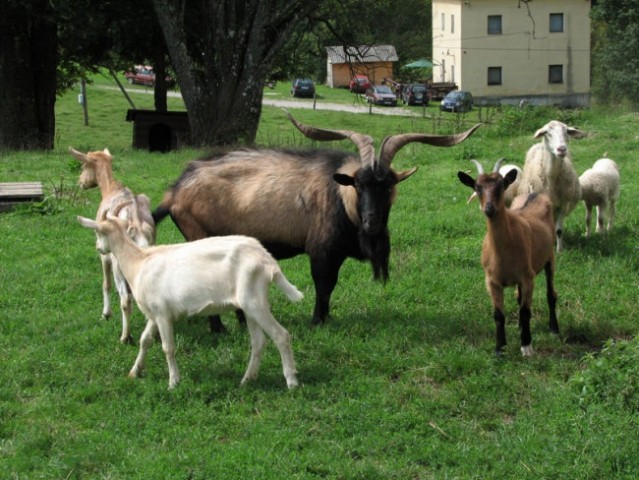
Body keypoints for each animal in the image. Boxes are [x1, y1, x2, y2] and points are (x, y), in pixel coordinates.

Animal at [69, 145, 156, 342]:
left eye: (84, 165)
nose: (81, 182)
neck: (110, 189)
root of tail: (135, 221)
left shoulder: (105, 255)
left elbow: (105, 284)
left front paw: (105, 314)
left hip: (119, 265)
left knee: (124, 299)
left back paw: (125, 337)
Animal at [77, 213, 302, 390]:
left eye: (97, 233)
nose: (99, 248)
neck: (139, 263)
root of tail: (267, 260)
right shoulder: (154, 313)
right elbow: (145, 340)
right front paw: (135, 371)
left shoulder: (163, 313)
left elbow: (168, 347)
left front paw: (173, 382)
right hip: (249, 304)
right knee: (258, 342)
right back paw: (247, 379)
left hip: (254, 300)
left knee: (281, 335)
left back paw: (291, 381)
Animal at [151, 111, 480, 330]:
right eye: (358, 185)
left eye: (388, 186)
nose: (372, 223)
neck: (341, 200)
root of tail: (175, 192)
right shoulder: (322, 250)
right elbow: (324, 285)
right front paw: (318, 321)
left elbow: (329, 287)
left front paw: (326, 317)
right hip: (200, 236)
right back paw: (222, 330)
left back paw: (242, 324)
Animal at [460, 159, 560, 354]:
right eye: (477, 187)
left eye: (502, 185)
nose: (489, 208)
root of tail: (534, 194)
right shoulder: (492, 281)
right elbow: (499, 315)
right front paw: (500, 348)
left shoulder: (528, 277)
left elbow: (526, 311)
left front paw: (526, 346)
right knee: (519, 297)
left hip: (550, 258)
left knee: (550, 293)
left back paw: (554, 328)